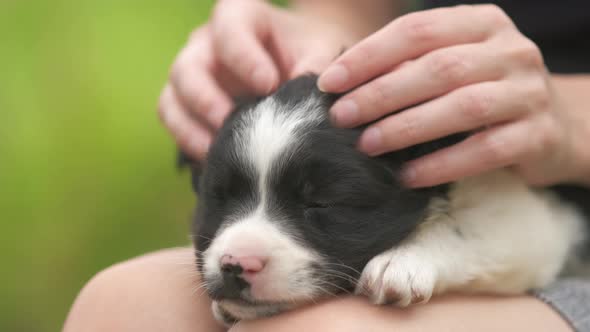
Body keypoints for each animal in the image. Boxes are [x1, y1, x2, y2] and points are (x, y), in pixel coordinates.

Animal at [186, 74, 590, 326]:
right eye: (220, 198)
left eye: (320, 204)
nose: (235, 265)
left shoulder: (531, 217)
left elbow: (469, 228)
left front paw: (402, 261)